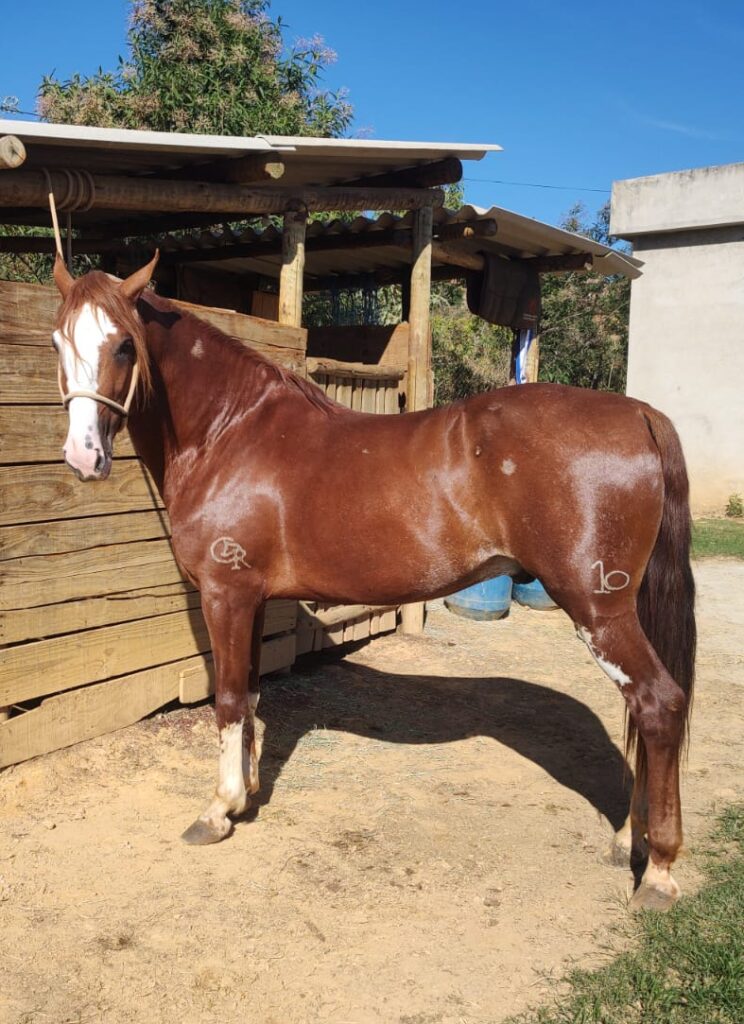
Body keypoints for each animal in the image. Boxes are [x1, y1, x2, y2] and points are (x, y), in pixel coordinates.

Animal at [48, 253, 695, 911]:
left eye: (124, 344)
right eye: (57, 341)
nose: (83, 457)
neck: (230, 432)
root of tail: (639, 413)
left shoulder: (225, 594)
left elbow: (227, 699)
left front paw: (218, 810)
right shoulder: (251, 599)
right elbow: (250, 695)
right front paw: (248, 794)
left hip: (598, 611)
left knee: (659, 704)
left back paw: (659, 871)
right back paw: (629, 840)